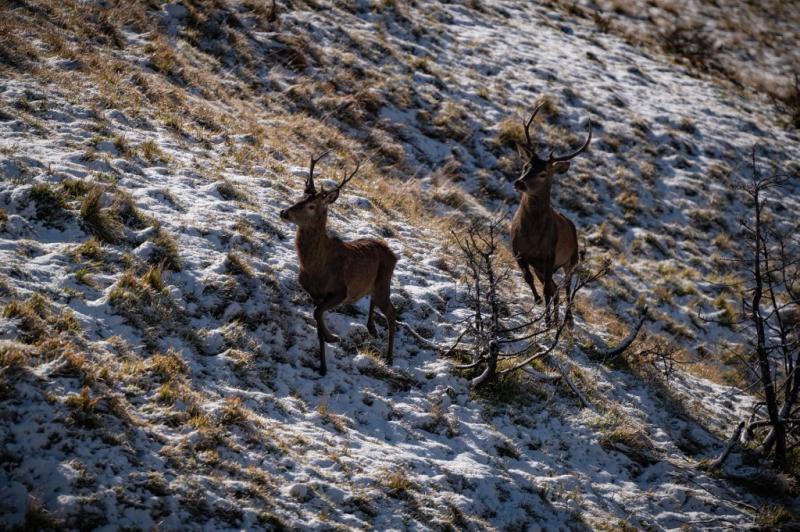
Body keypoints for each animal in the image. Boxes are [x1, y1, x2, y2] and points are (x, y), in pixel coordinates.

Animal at [280, 152, 398, 376]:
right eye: (300, 198)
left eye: (311, 206)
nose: (284, 212)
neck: (315, 267)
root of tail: (393, 254)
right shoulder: (314, 293)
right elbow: (317, 318)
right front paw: (323, 366)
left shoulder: (340, 291)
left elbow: (318, 314)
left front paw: (332, 337)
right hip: (373, 285)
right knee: (374, 301)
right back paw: (371, 328)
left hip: (383, 283)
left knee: (392, 312)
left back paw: (389, 358)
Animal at [510, 103, 592, 326]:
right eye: (525, 166)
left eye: (543, 173)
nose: (519, 183)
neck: (531, 234)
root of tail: (571, 223)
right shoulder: (518, 251)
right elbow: (529, 278)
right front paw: (537, 302)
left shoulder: (549, 254)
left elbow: (549, 289)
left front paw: (547, 321)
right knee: (555, 288)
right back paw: (556, 318)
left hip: (572, 258)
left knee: (566, 289)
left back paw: (567, 321)